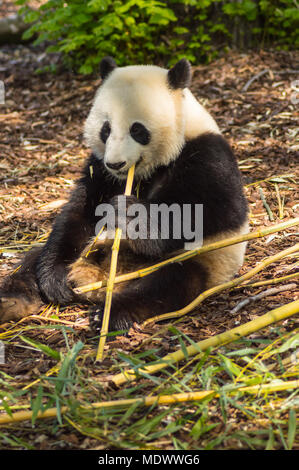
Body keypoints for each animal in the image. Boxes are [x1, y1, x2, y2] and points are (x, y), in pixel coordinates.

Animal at [0, 57, 248, 334]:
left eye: (137, 130)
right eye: (105, 129)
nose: (116, 163)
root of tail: (101, 283)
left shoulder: (207, 153)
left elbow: (210, 211)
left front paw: (128, 213)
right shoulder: (99, 169)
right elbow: (78, 213)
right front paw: (56, 279)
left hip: (198, 260)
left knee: (167, 285)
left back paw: (109, 315)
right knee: (31, 262)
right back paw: (10, 301)